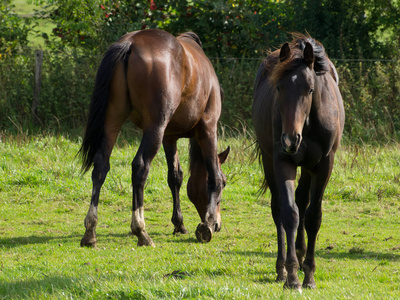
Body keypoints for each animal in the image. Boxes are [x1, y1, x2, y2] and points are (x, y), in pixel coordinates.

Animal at [78, 28, 230, 248]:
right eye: (226, 183)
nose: (218, 224)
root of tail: (130, 43)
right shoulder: (208, 129)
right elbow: (213, 175)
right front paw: (207, 224)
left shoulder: (169, 137)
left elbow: (175, 177)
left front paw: (179, 224)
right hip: (154, 129)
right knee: (140, 167)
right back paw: (141, 231)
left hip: (113, 120)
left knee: (101, 166)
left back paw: (90, 231)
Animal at [253, 33, 344, 290]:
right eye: (278, 87)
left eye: (310, 89)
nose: (290, 140)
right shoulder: (283, 161)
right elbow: (289, 214)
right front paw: (292, 276)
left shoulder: (324, 165)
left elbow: (313, 216)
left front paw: (309, 274)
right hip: (270, 161)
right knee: (278, 210)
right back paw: (281, 269)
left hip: (308, 167)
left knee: (303, 201)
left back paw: (302, 256)